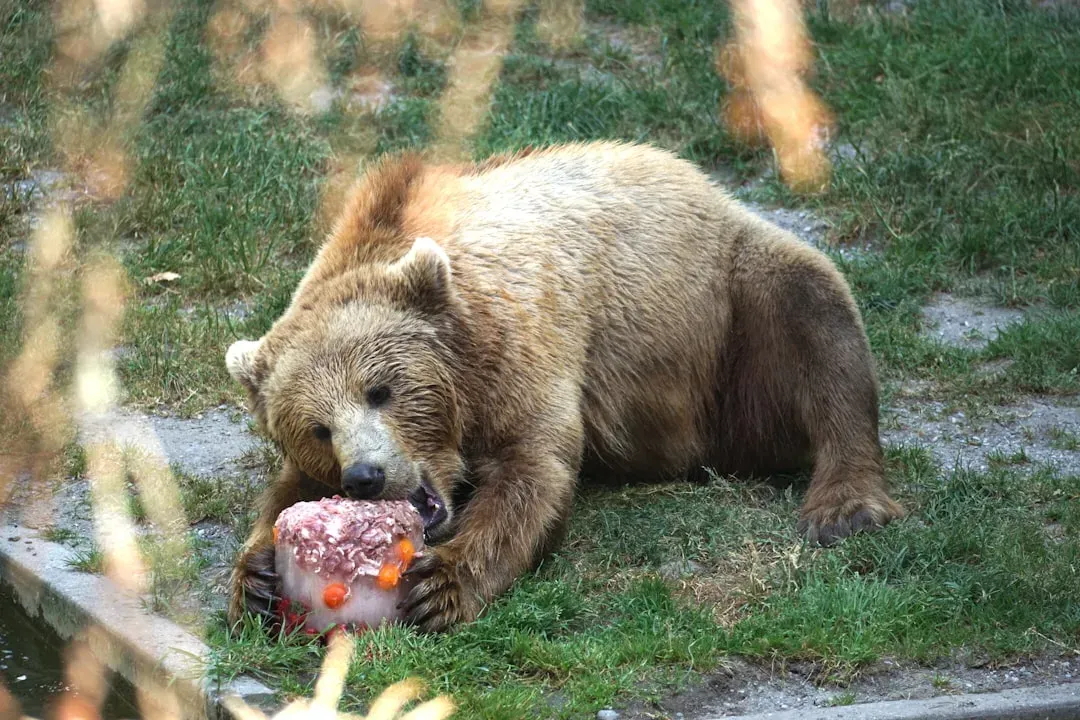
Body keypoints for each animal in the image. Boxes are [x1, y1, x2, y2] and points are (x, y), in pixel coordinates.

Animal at [224, 140, 904, 633]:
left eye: (380, 389)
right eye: (317, 428)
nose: (365, 476)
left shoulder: (524, 345)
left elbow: (533, 470)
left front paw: (438, 587)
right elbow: (286, 492)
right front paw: (254, 579)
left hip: (728, 310)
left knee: (817, 316)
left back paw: (844, 505)